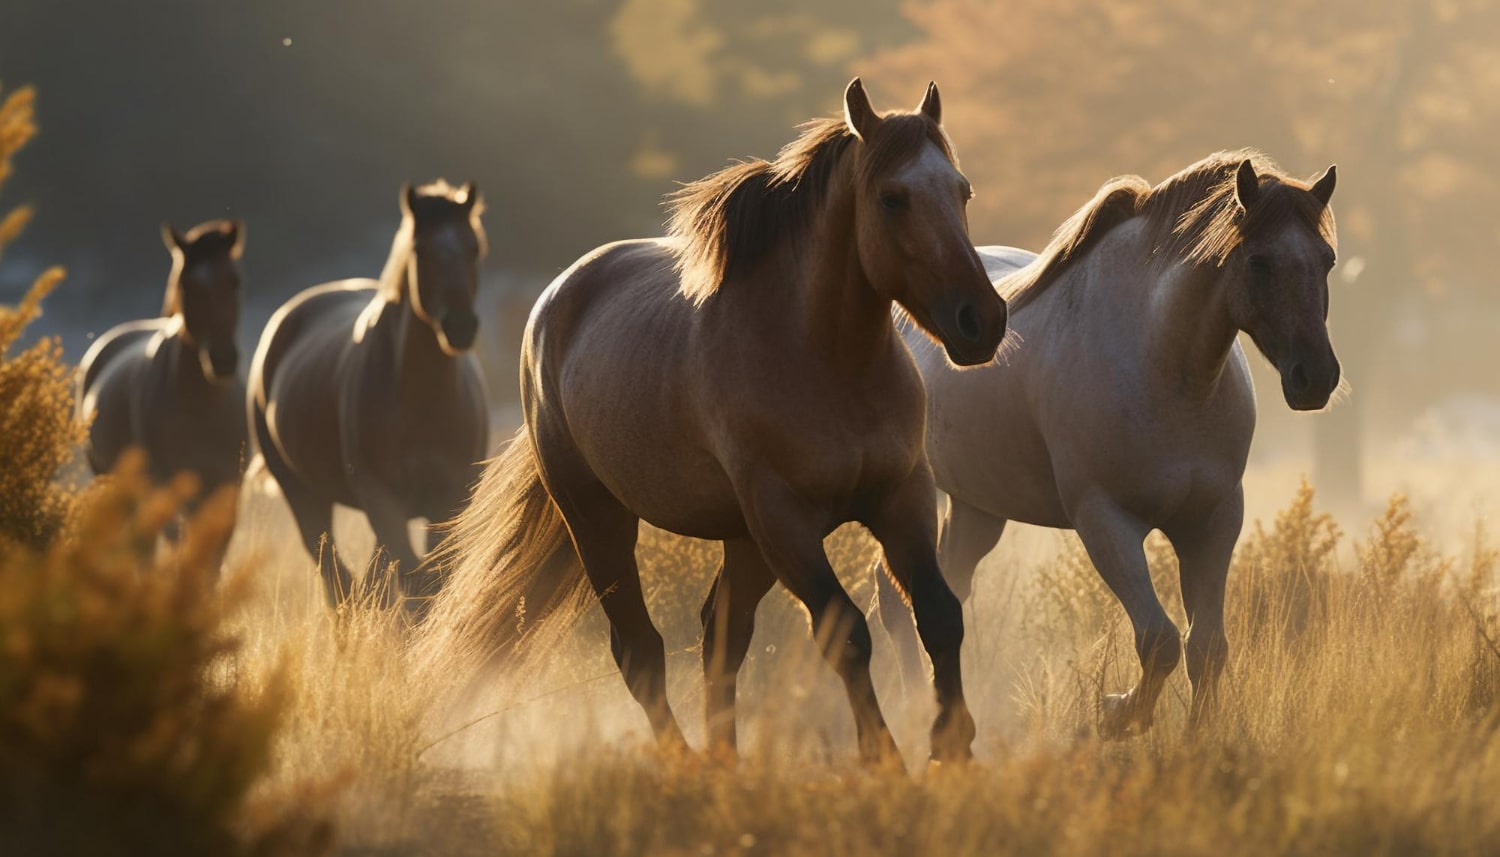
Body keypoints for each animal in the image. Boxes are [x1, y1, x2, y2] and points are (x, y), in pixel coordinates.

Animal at [78, 217, 247, 525]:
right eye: (187, 284)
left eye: (234, 281)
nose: (223, 359)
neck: (203, 408)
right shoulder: (174, 490)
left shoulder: (226, 488)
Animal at [249, 183, 489, 609]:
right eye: (420, 250)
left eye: (474, 246)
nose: (459, 326)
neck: (425, 400)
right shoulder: (384, 499)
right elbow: (414, 584)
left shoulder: (450, 500)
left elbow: (430, 582)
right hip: (303, 496)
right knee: (337, 579)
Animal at [423, 77, 1008, 768]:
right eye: (893, 198)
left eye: (961, 191)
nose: (982, 321)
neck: (827, 361)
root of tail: (555, 300)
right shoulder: (785, 519)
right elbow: (845, 632)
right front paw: (884, 759)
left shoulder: (902, 496)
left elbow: (940, 615)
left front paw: (954, 748)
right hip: (600, 519)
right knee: (640, 649)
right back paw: (685, 759)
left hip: (742, 540)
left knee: (718, 635)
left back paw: (726, 757)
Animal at [876, 149, 1344, 738]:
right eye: (1259, 262)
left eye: (1326, 260)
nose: (1316, 377)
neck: (1164, 366)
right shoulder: (1105, 521)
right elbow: (1160, 641)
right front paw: (1118, 713)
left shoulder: (1212, 521)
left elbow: (1207, 648)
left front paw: (1195, 739)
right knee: (897, 597)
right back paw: (917, 709)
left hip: (978, 509)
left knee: (941, 590)